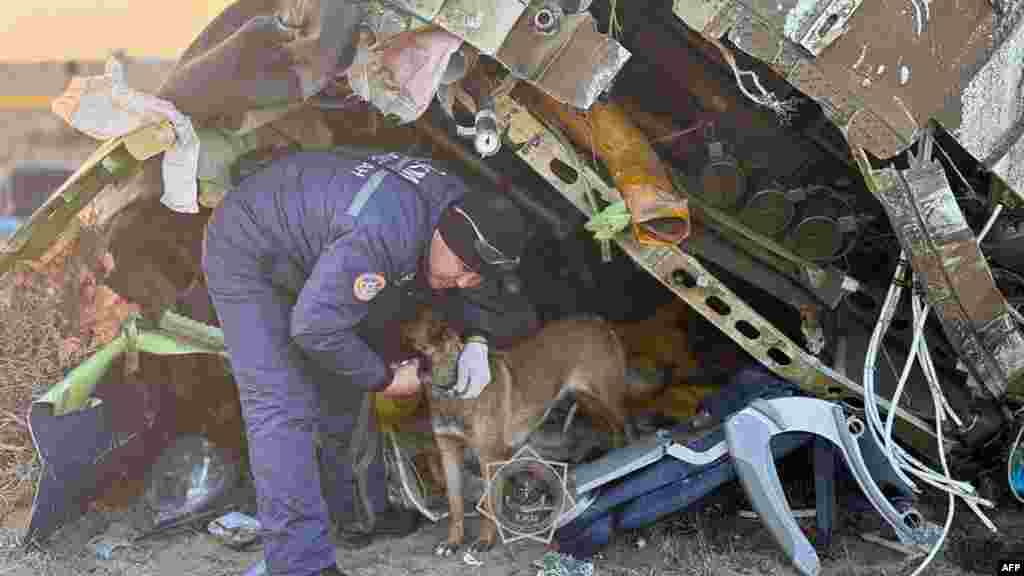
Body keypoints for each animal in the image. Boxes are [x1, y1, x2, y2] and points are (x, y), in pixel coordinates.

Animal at [399, 307, 663, 553]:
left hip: (609, 400)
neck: (452, 387)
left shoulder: (488, 456)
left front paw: (485, 541)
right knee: (614, 431)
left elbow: (488, 504)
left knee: (628, 428)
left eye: (407, 338)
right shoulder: (448, 452)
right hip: (588, 401)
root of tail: (599, 322)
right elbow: (455, 505)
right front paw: (453, 542)